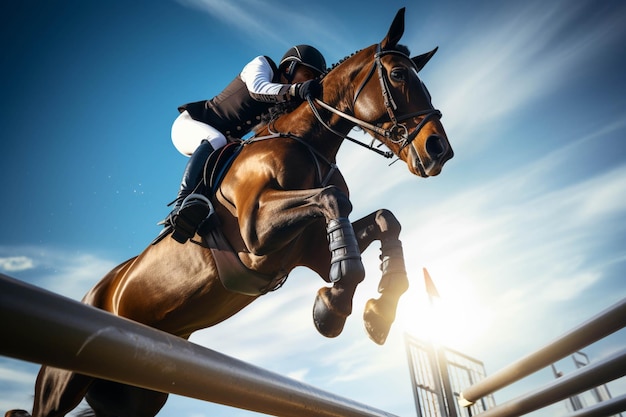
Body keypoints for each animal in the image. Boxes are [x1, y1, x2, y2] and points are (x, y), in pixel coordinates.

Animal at [7, 7, 450, 416]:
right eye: (398, 75)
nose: (439, 150)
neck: (307, 143)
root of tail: (92, 294)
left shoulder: (311, 251)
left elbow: (385, 221)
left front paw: (376, 311)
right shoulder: (256, 232)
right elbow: (331, 199)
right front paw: (334, 310)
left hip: (134, 392)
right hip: (64, 382)